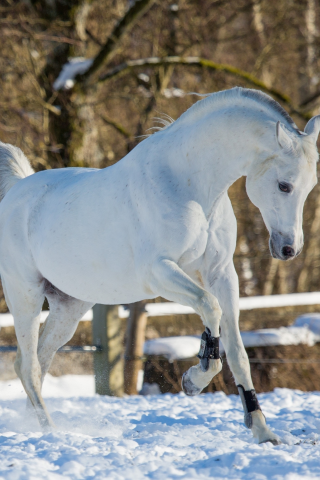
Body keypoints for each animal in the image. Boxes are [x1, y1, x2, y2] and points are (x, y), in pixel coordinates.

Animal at [0, 88, 318, 444]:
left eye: (310, 186)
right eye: (284, 185)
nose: (289, 248)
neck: (188, 185)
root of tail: (17, 192)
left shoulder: (222, 274)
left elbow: (237, 351)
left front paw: (262, 431)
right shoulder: (160, 273)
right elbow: (210, 308)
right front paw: (193, 380)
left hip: (69, 307)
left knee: (39, 361)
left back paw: (39, 426)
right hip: (25, 295)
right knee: (28, 365)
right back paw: (52, 431)